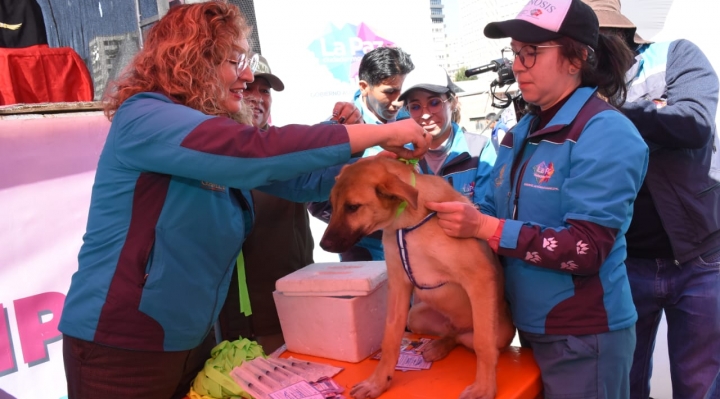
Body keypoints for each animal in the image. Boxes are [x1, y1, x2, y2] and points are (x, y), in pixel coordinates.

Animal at [318, 157, 516, 399]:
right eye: (332, 205)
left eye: (353, 207)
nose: (323, 245)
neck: (405, 222)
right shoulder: (398, 286)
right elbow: (390, 338)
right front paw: (378, 383)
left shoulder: (480, 277)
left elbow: (483, 343)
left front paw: (484, 388)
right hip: (416, 315)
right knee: (452, 335)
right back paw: (438, 346)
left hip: (501, 331)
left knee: (472, 338)